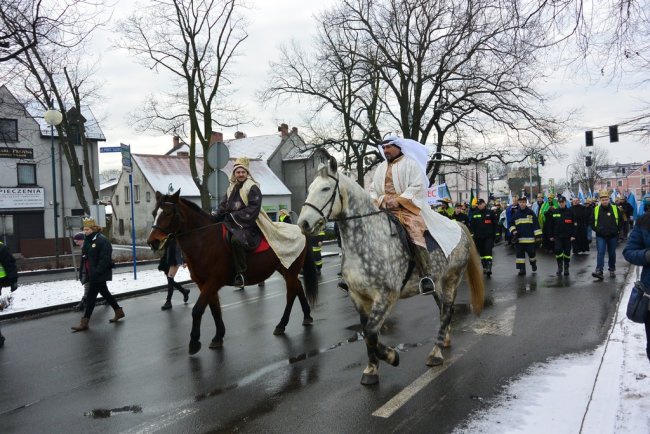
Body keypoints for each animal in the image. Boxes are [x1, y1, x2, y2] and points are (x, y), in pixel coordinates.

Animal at [147, 192, 318, 354]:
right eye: (154, 212)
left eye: (169, 213)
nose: (152, 242)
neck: (205, 240)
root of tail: (299, 229)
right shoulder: (204, 284)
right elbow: (214, 309)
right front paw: (218, 337)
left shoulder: (213, 281)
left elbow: (197, 310)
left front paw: (194, 342)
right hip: (285, 268)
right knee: (298, 287)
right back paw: (307, 316)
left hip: (290, 270)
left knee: (291, 294)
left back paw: (282, 324)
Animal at [298, 158, 480, 384]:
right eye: (310, 189)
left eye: (325, 188)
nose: (303, 223)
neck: (367, 242)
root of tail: (458, 225)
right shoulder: (358, 297)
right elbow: (368, 334)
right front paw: (371, 370)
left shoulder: (386, 296)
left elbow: (370, 332)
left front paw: (392, 357)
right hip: (437, 284)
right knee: (444, 310)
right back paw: (444, 341)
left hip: (451, 280)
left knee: (446, 311)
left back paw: (435, 354)